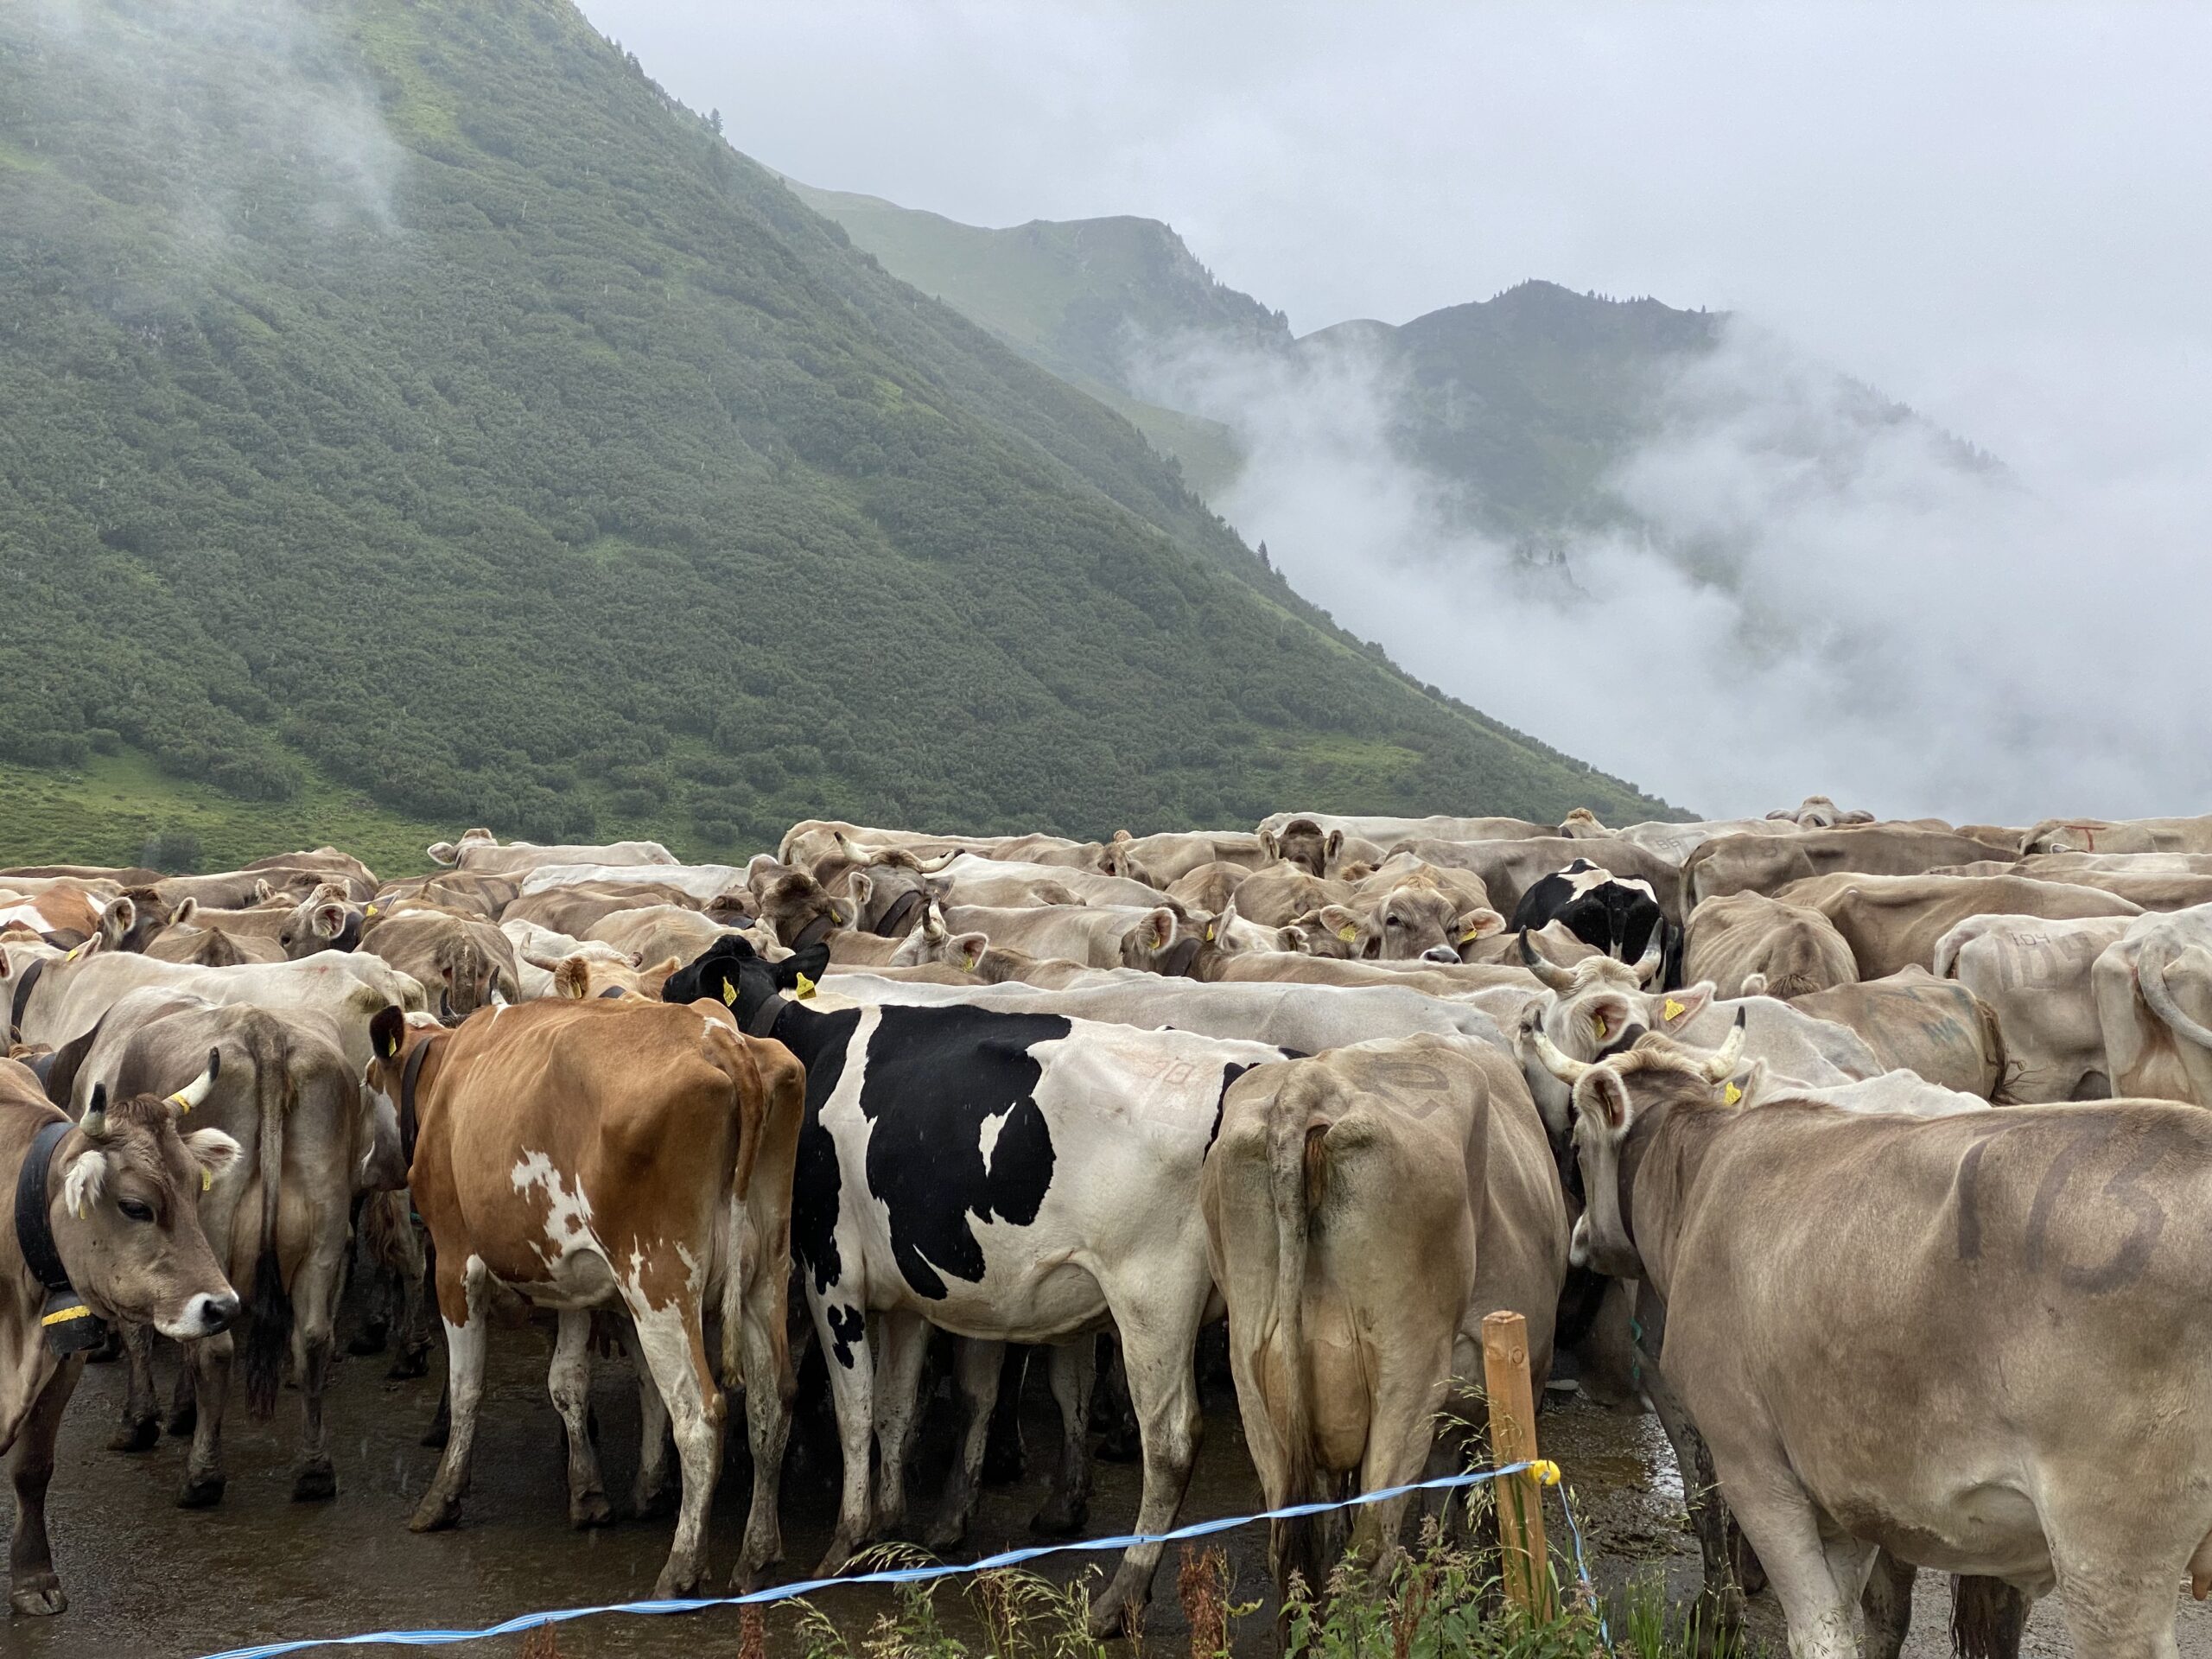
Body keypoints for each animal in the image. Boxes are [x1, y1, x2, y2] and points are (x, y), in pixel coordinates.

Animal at [658, 942, 1282, 1645]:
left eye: (684, 985)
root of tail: (1242, 1069)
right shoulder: (904, 1295)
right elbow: (895, 1408)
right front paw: (891, 1524)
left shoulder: (832, 1273)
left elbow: (855, 1409)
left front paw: (847, 1539)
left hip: (1152, 1299)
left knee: (1171, 1442)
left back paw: (1119, 1598)